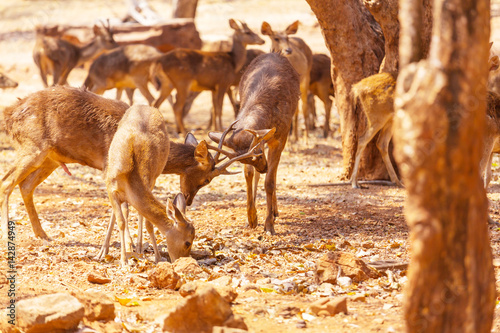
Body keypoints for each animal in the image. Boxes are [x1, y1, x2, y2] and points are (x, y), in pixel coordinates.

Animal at [104, 104, 194, 264]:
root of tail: (143, 105)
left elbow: (148, 223)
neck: (130, 178)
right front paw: (123, 260)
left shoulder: (149, 182)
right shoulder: (110, 186)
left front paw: (157, 257)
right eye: (187, 242)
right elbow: (120, 220)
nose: (182, 261)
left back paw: (139, 247)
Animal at [208, 52, 298, 233]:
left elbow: (269, 181)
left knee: (274, 173)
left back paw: (275, 211)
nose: (263, 168)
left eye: (259, 154)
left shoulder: (280, 137)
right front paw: (251, 218)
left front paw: (269, 225)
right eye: (254, 156)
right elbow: (248, 174)